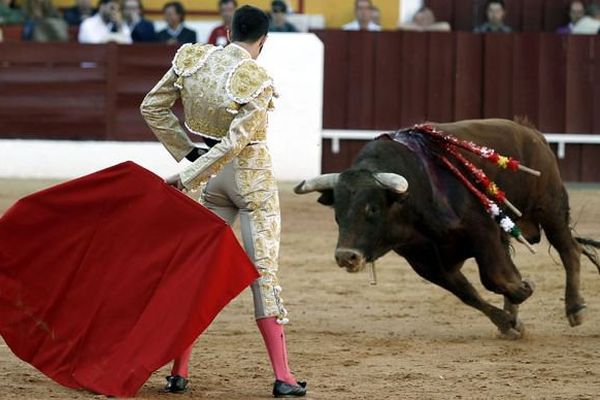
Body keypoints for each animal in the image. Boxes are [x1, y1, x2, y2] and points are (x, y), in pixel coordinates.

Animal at [296, 119, 600, 338]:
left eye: (372, 208)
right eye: (337, 212)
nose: (346, 256)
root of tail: (531, 132)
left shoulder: (483, 232)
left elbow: (493, 277)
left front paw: (523, 290)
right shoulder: (426, 261)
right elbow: (469, 294)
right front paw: (508, 321)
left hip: (550, 208)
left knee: (569, 250)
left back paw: (575, 308)